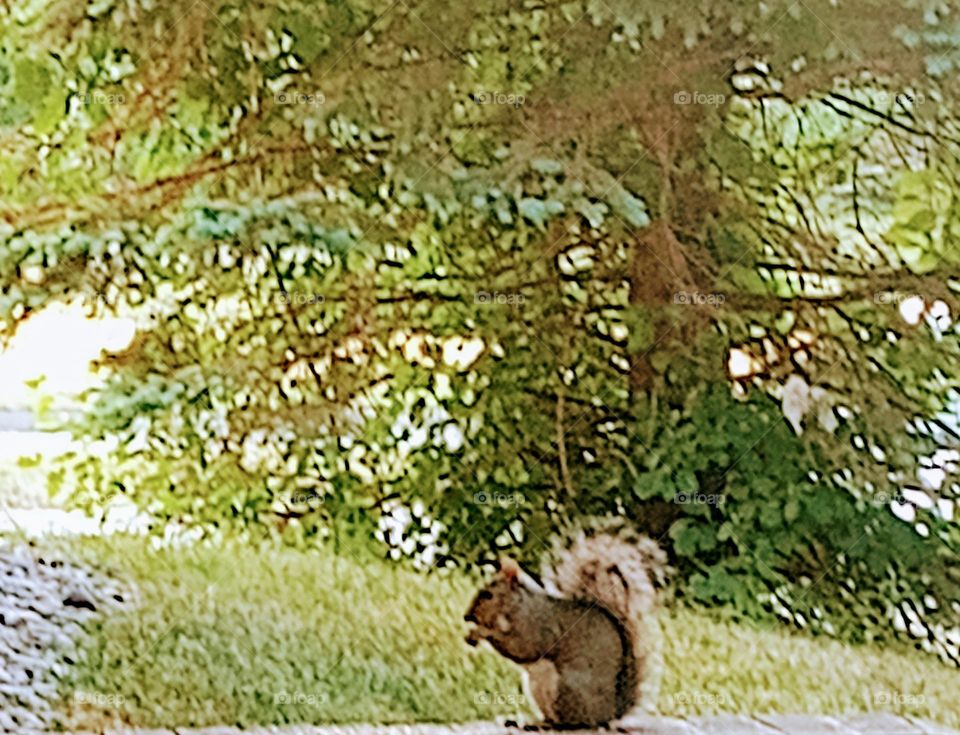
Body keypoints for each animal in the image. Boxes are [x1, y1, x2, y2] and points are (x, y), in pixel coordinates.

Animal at [464, 526, 667, 728]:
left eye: (488, 595)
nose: (466, 616)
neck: (517, 606)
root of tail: (610, 713)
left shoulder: (539, 628)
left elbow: (521, 647)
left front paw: (481, 632)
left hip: (566, 687)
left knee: (572, 722)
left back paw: (549, 725)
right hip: (537, 688)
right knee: (551, 716)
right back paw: (532, 721)